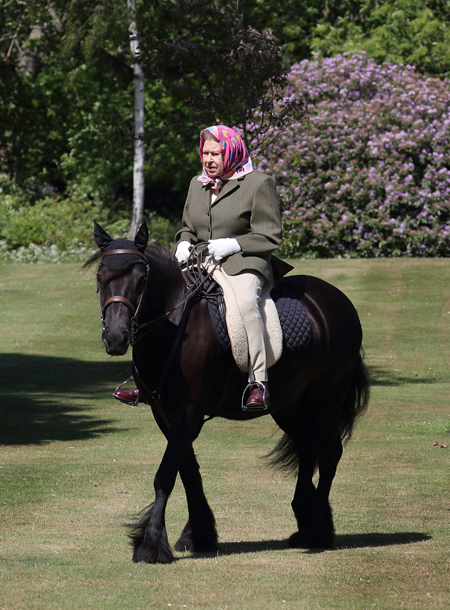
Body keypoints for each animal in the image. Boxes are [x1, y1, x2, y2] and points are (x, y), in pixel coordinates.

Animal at [87, 221, 370, 564]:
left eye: (141, 280)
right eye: (100, 278)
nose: (116, 338)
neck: (174, 324)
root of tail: (335, 298)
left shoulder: (189, 409)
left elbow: (166, 474)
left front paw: (151, 544)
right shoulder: (164, 411)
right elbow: (188, 471)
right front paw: (198, 535)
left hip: (328, 392)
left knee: (329, 452)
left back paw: (317, 530)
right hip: (288, 403)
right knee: (308, 447)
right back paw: (305, 520)